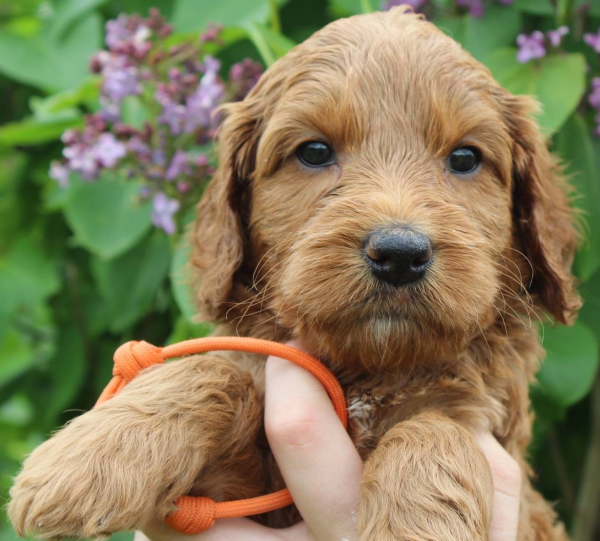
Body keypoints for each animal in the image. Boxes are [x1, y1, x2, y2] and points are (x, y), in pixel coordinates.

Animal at [8, 5, 580, 540]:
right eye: (315, 152)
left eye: (464, 158)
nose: (399, 253)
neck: (367, 374)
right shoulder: (232, 488)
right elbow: (216, 371)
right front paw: (90, 457)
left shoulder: (505, 458)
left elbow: (434, 430)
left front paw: (413, 526)